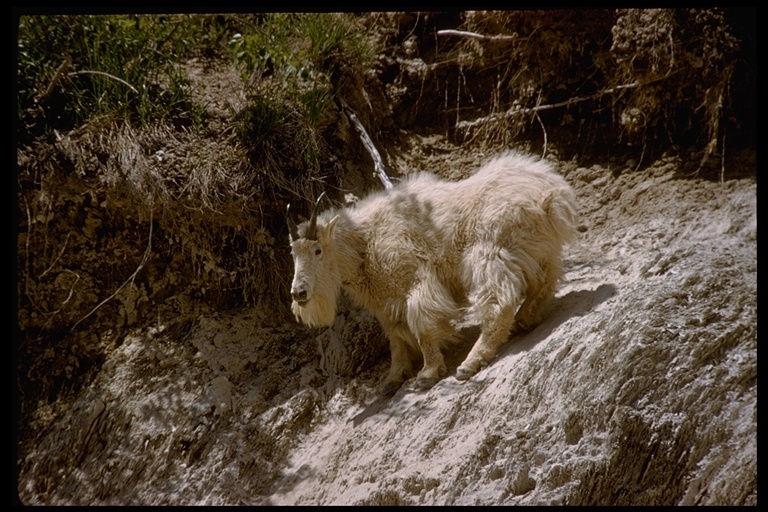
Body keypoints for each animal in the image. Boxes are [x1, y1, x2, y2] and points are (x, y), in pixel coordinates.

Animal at [286, 150, 576, 394]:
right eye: (293, 252)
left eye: (317, 250)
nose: (299, 293)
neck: (364, 242)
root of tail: (551, 194)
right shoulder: (386, 302)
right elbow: (395, 339)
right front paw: (392, 379)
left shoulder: (416, 281)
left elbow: (423, 326)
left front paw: (427, 374)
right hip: (538, 251)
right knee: (546, 281)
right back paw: (526, 319)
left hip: (490, 253)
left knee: (498, 302)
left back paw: (470, 363)